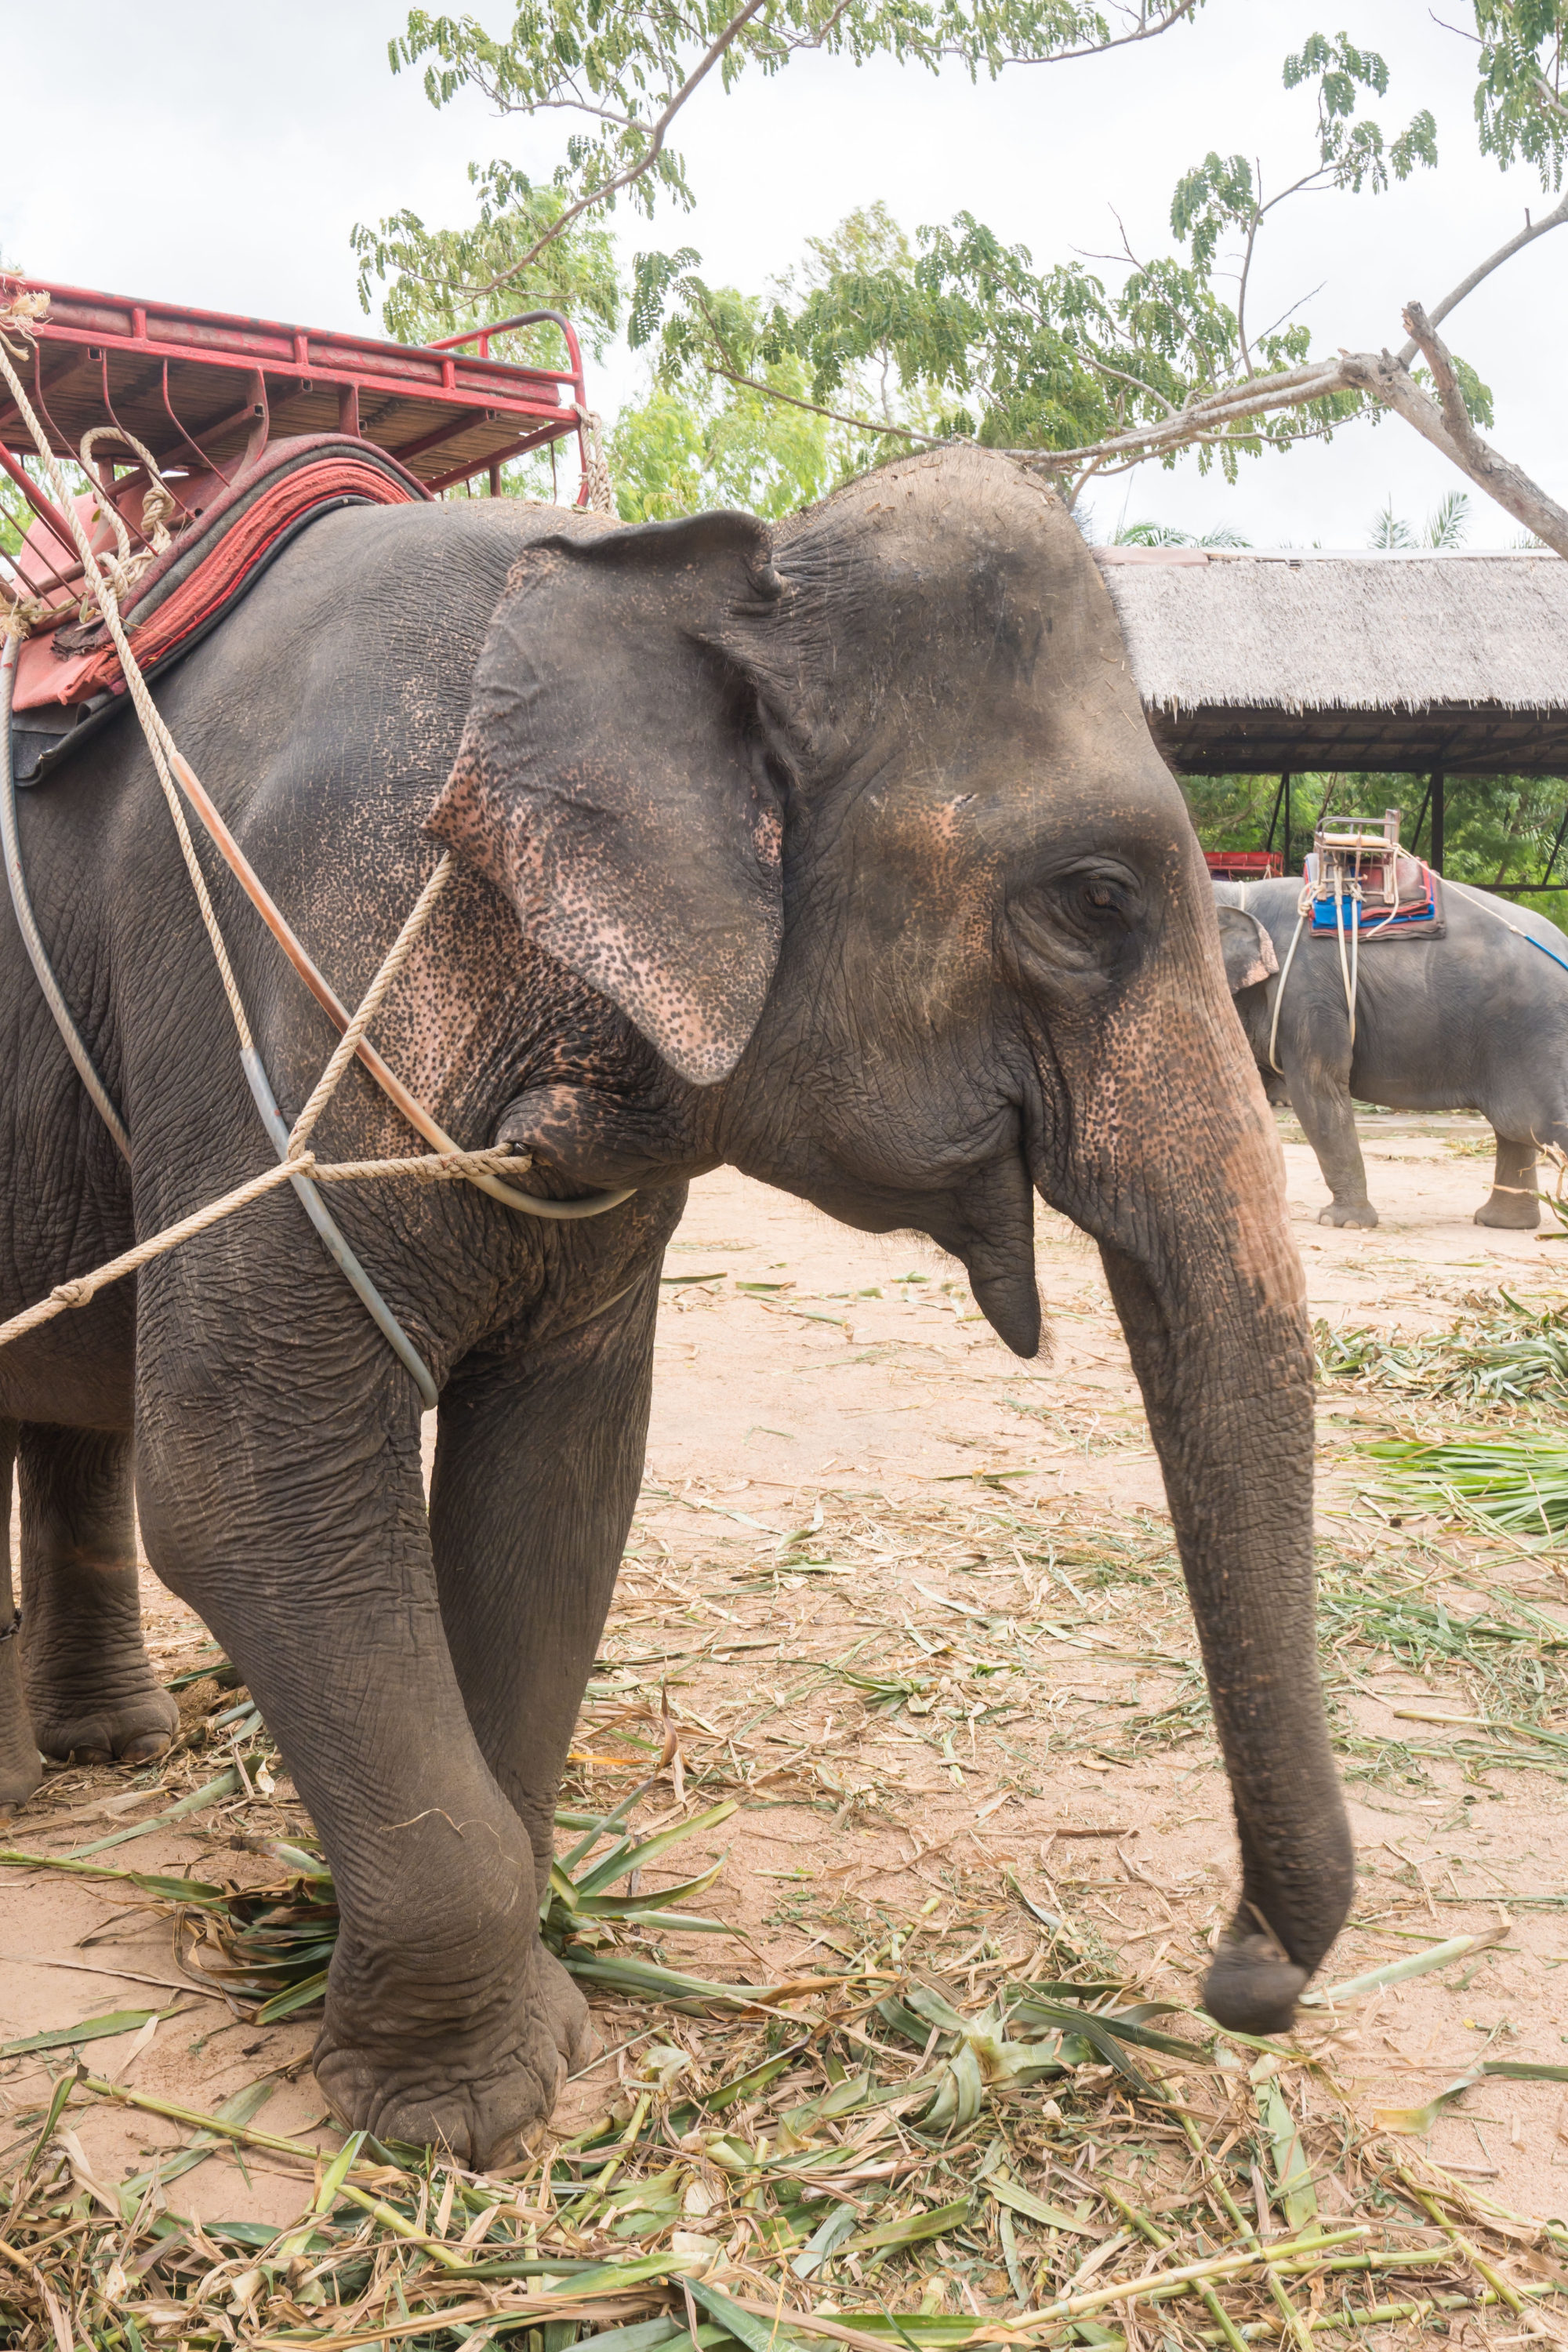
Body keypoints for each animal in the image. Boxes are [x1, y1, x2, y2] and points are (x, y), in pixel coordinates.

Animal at [0, 445, 1354, 2164]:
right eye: (1096, 897)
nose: (1240, 1977)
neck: (627, 577)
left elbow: (559, 1486)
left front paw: (528, 2022)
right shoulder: (286, 969)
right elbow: (246, 1478)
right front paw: (464, 2117)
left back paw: (104, 1756)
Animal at [1222, 870, 1568, 1232]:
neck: (1241, 895)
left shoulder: (1306, 992)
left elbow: (1319, 1085)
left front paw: (1341, 1222)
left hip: (1530, 1029)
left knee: (1532, 1122)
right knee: (1515, 1126)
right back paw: (1502, 1223)